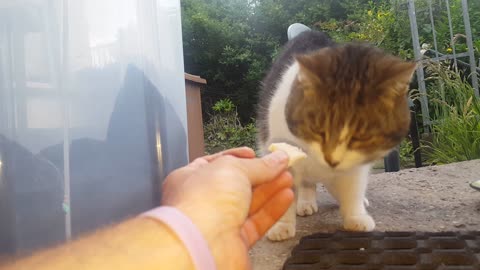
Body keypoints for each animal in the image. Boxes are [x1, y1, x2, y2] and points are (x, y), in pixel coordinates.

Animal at [255, 30, 416, 242]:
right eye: (318, 129)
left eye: (361, 137)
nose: (332, 159)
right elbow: (283, 193)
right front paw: (282, 226)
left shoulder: (355, 165)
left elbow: (352, 189)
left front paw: (355, 217)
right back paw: (305, 203)